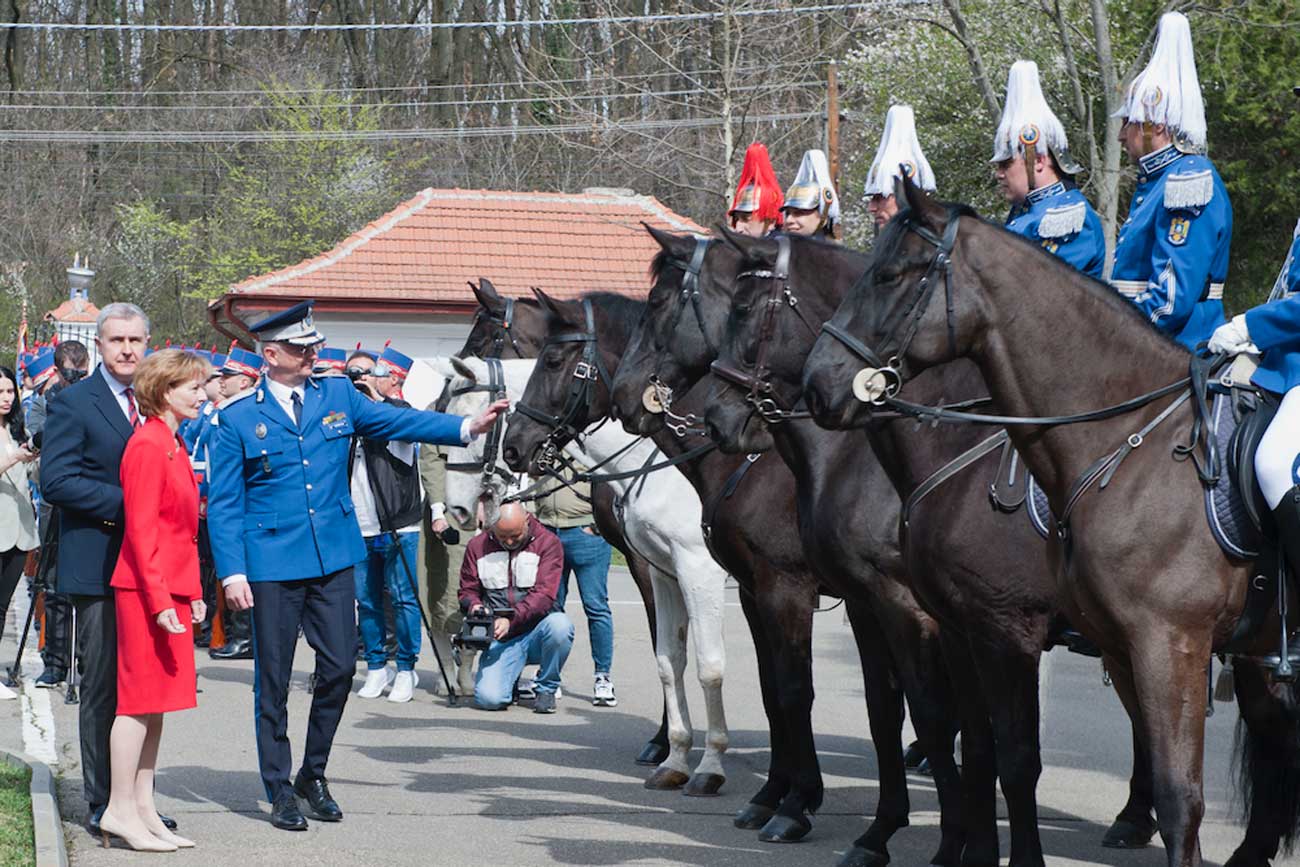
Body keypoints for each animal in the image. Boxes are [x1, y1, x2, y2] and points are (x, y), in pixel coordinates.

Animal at [441, 356, 738, 795]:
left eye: (474, 425)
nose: (457, 510)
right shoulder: (666, 571)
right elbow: (670, 660)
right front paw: (670, 751)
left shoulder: (697, 570)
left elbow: (708, 665)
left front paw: (705, 762)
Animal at [800, 178, 1300, 867]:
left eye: (891, 274)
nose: (816, 387)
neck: (1124, 444)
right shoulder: (1090, 642)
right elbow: (994, 752)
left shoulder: (1152, 644)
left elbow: (1173, 798)